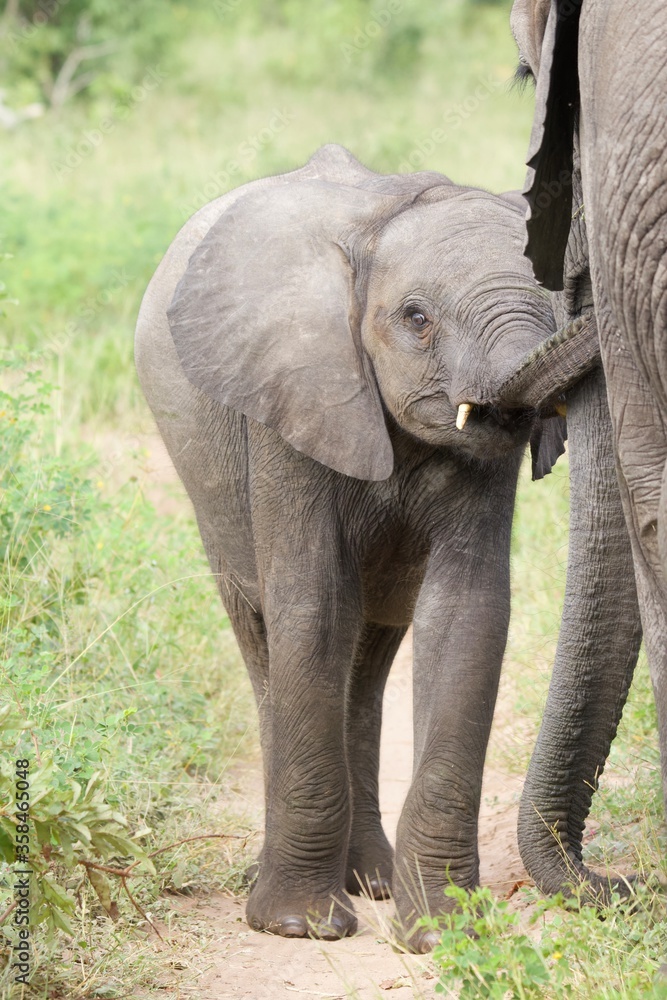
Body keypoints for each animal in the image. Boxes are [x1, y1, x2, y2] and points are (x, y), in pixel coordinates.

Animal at [134, 143, 593, 951]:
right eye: (416, 318)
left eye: (558, 305)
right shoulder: (291, 398)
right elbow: (312, 605)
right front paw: (300, 927)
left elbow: (466, 617)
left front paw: (441, 933)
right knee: (272, 636)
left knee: (369, 650)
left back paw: (372, 882)